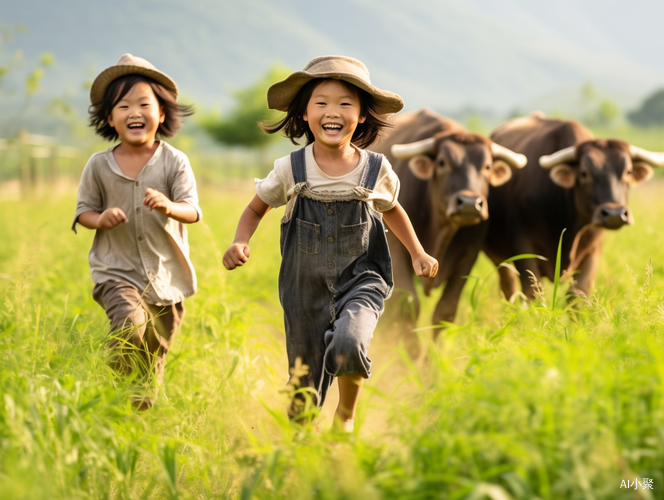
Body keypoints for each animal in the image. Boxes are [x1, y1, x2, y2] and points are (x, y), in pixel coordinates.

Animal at [374, 108, 524, 344]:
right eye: (443, 162)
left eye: (487, 166)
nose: (470, 203)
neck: (439, 229)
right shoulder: (395, 251)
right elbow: (407, 305)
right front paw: (409, 351)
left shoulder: (468, 255)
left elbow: (445, 311)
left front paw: (433, 354)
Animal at [482, 114, 664, 300]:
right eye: (584, 173)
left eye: (628, 172)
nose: (615, 214)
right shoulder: (522, 247)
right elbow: (533, 292)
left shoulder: (592, 253)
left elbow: (577, 295)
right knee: (508, 284)